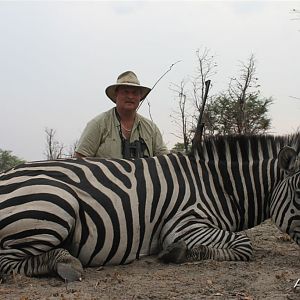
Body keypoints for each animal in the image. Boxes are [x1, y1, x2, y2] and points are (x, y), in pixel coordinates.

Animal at [0, 134, 298, 282]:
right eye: (298, 194)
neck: (217, 184)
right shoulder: (184, 224)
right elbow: (245, 244)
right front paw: (177, 253)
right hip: (56, 205)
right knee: (6, 263)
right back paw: (66, 263)